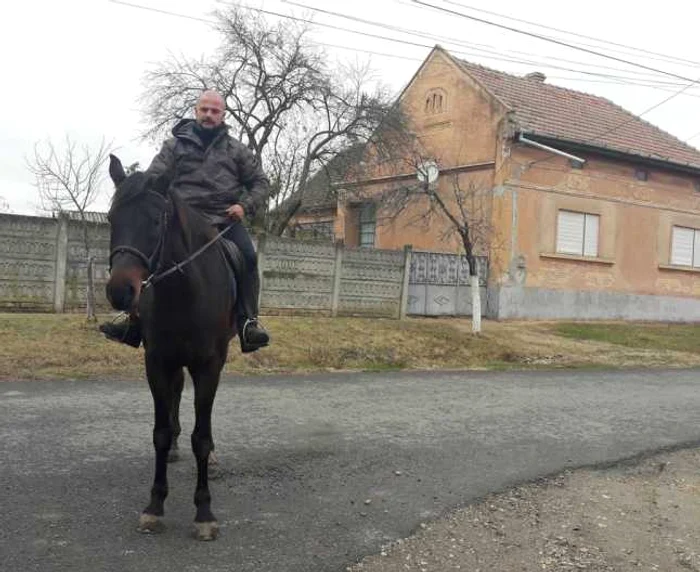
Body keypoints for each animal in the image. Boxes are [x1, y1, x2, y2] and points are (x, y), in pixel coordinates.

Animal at [104, 155, 235, 540]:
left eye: (154, 220)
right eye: (111, 218)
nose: (120, 292)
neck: (183, 291)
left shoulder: (209, 366)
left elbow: (202, 438)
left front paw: (204, 512)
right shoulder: (157, 361)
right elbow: (160, 433)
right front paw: (154, 506)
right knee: (176, 396)